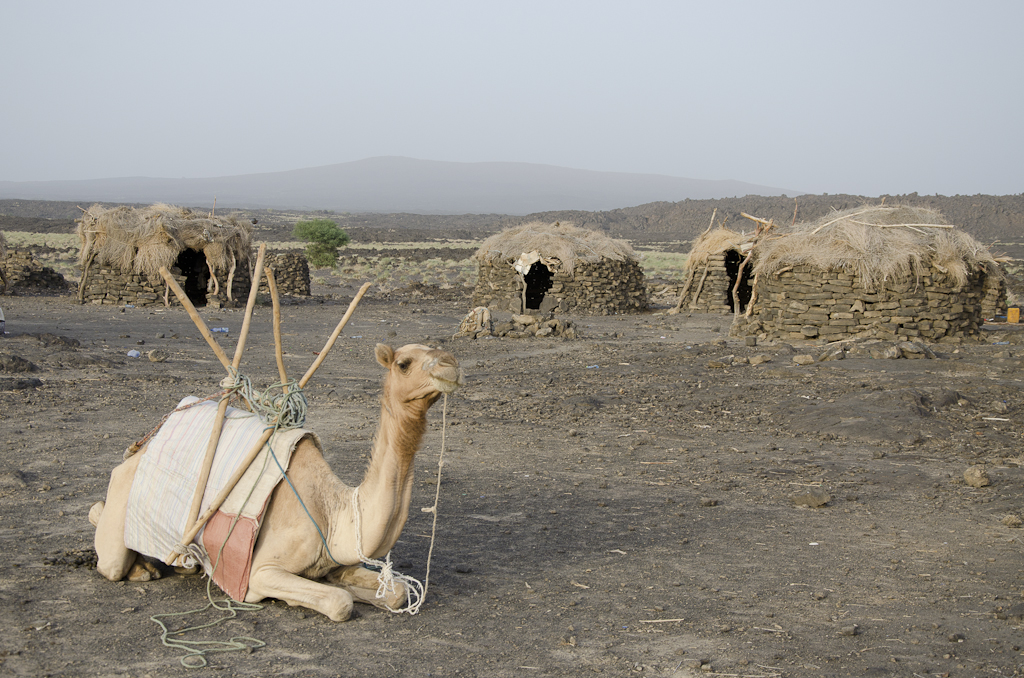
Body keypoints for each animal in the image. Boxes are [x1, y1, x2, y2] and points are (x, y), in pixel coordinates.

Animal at [88, 346, 464, 622]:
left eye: (439, 348)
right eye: (404, 363)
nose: (451, 364)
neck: (333, 512)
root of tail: (139, 449)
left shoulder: (335, 561)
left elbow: (397, 592)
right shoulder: (260, 572)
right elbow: (340, 602)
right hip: (121, 507)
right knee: (110, 559)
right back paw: (140, 569)